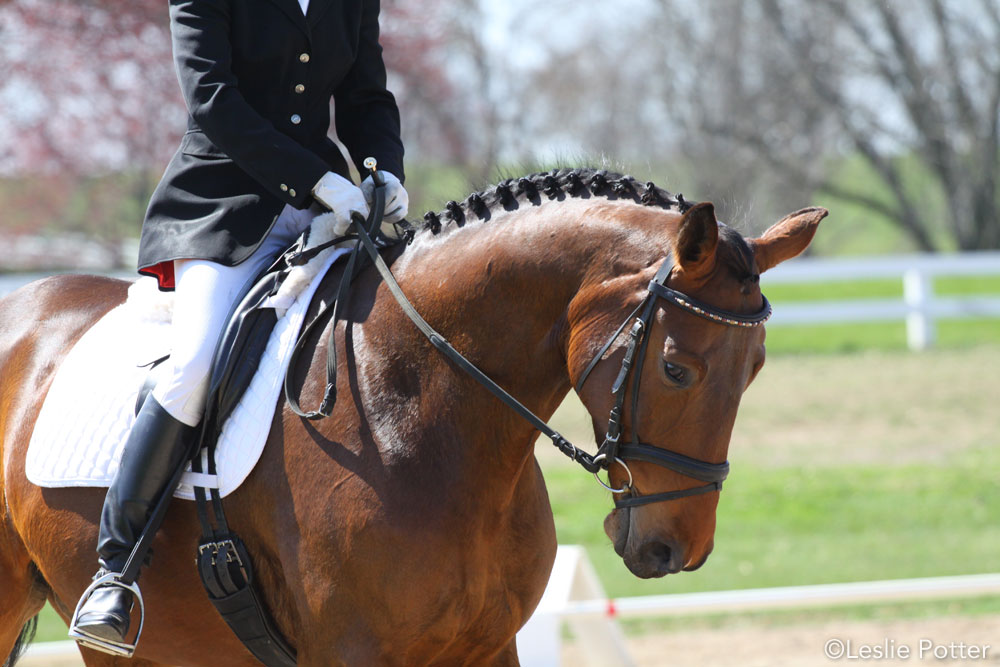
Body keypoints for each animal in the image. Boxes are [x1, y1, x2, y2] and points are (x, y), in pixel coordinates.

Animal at [0, 170, 828, 664]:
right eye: (676, 367)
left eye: (755, 367)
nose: (672, 548)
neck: (418, 410)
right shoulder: (354, 653)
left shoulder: (488, 645)